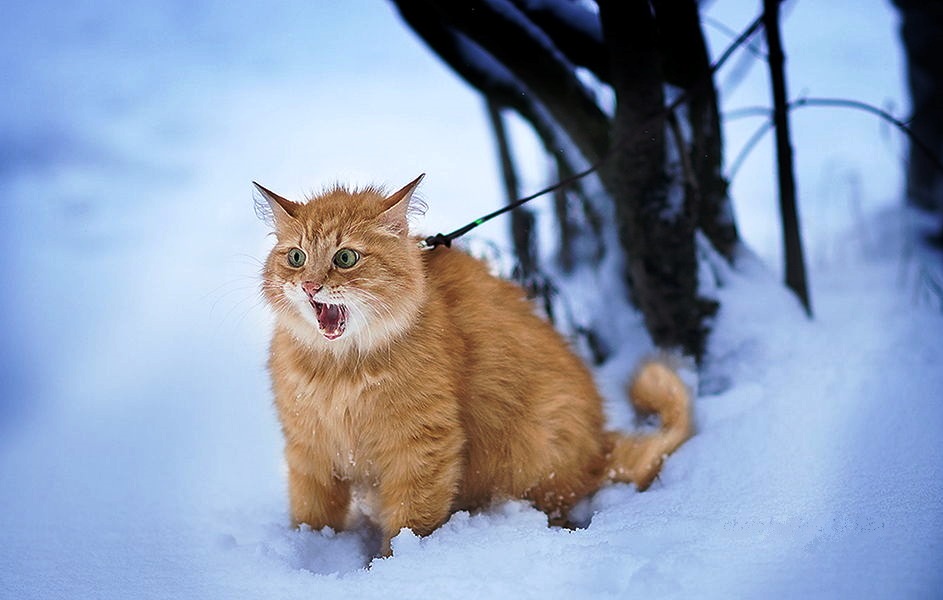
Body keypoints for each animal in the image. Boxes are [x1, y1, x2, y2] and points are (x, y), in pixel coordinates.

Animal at [254, 175, 688, 556]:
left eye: (345, 258)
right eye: (296, 258)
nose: (309, 285)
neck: (339, 370)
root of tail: (598, 450)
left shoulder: (425, 445)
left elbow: (410, 525)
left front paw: (388, 568)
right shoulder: (310, 449)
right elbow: (311, 518)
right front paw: (309, 553)